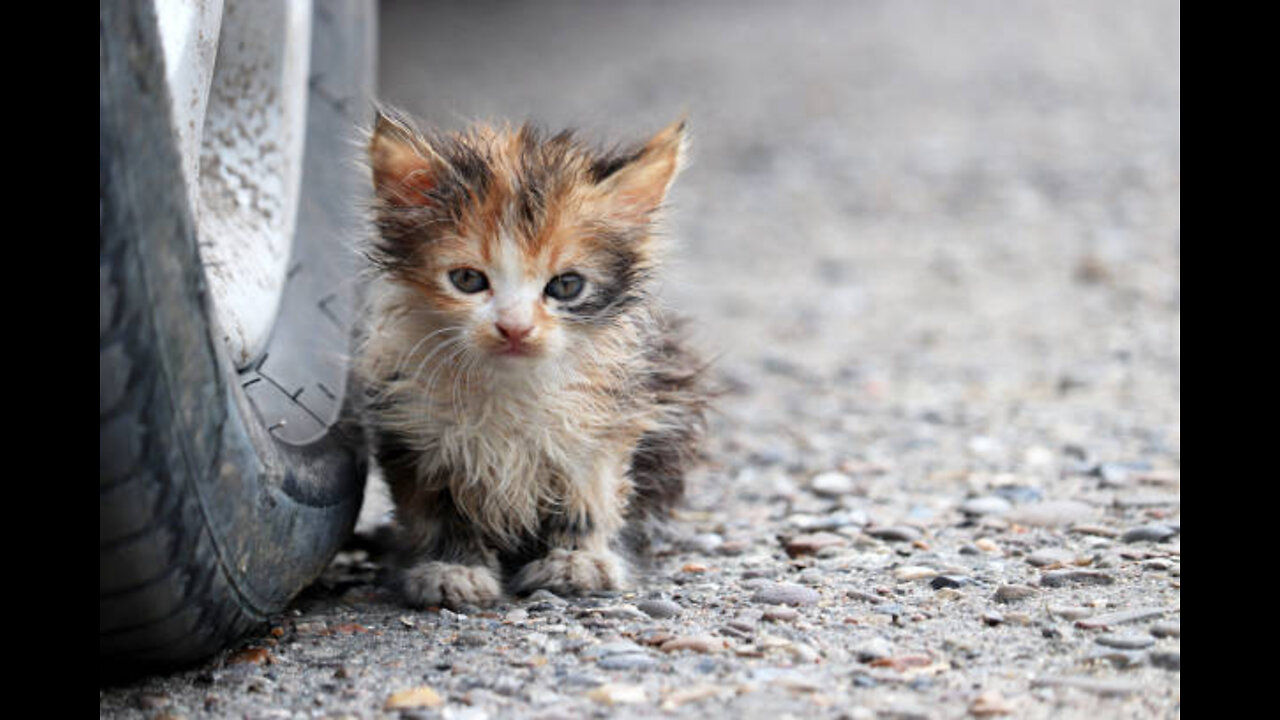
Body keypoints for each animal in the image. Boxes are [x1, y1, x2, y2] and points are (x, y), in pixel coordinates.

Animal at [355, 109, 706, 607]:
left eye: (566, 286)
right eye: (467, 280)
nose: (515, 328)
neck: (509, 385)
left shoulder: (607, 421)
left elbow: (589, 497)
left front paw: (577, 561)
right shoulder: (415, 428)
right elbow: (437, 510)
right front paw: (452, 568)